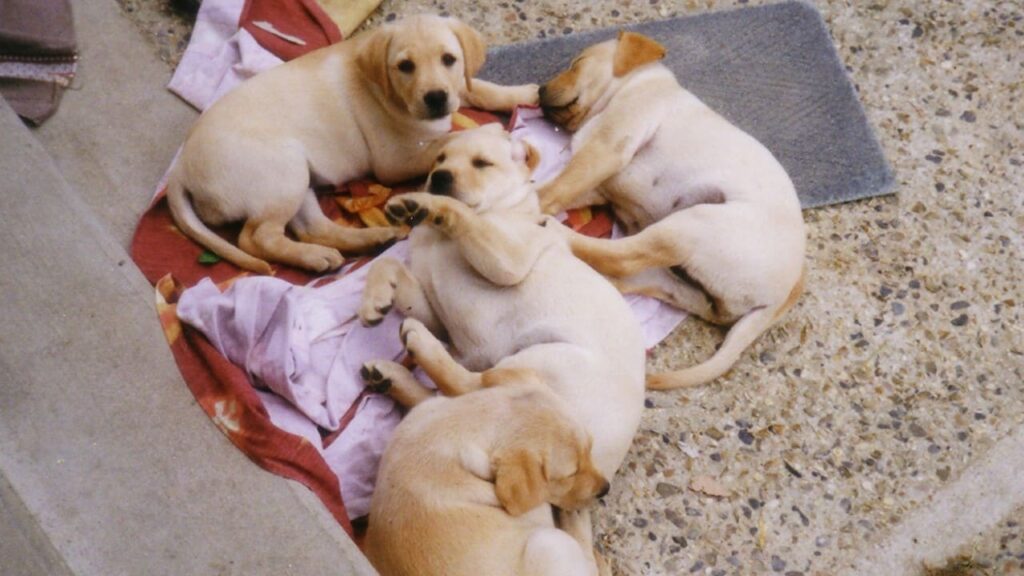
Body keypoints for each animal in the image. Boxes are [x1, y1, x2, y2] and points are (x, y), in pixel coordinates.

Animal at [163, 14, 540, 272]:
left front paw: (525, 93)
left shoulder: (456, 87)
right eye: (405, 66)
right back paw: (313, 257)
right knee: (257, 236)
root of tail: (179, 168)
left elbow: (477, 86)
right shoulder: (395, 161)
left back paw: (370, 239)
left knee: (314, 228)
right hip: (283, 171)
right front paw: (491, 131)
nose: (435, 98)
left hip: (300, 179)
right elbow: (453, 135)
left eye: (449, 59)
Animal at [536, 32, 806, 389]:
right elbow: (560, 187)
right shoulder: (596, 183)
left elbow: (553, 189)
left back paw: (554, 231)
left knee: (620, 257)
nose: (538, 91)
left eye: (576, 63)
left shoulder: (607, 149)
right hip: (683, 282)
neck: (631, 87)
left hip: (693, 224)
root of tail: (784, 294)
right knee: (629, 273)